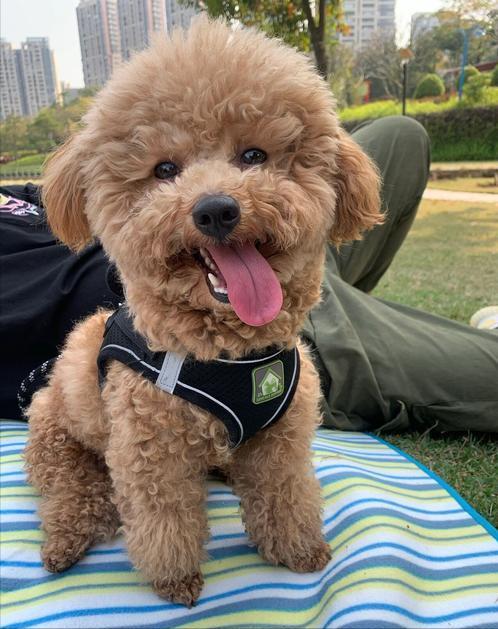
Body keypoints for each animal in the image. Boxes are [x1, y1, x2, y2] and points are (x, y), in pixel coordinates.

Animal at [24, 17, 381, 606]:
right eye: (164, 169)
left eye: (254, 156)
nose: (215, 210)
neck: (228, 352)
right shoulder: (151, 451)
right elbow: (165, 520)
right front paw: (175, 579)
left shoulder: (280, 440)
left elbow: (286, 495)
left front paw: (298, 549)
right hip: (57, 440)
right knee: (76, 492)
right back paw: (67, 539)